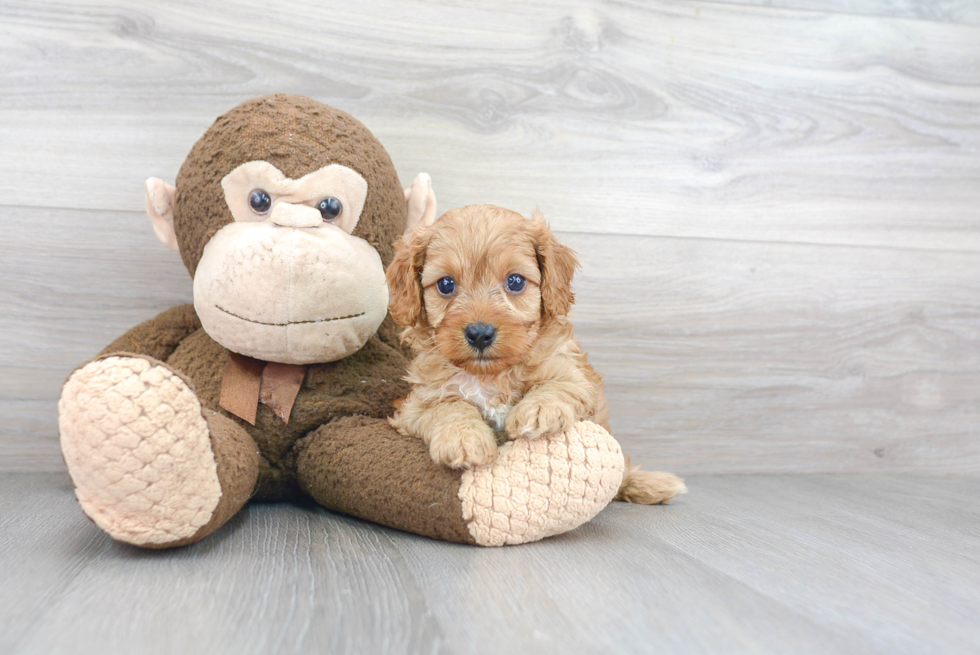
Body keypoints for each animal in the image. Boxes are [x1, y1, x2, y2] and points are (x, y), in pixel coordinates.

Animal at [386, 205, 684, 508]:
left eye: (515, 281)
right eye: (446, 285)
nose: (479, 334)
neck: (491, 376)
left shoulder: (573, 376)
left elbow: (555, 386)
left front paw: (538, 411)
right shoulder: (417, 404)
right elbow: (448, 407)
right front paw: (463, 438)